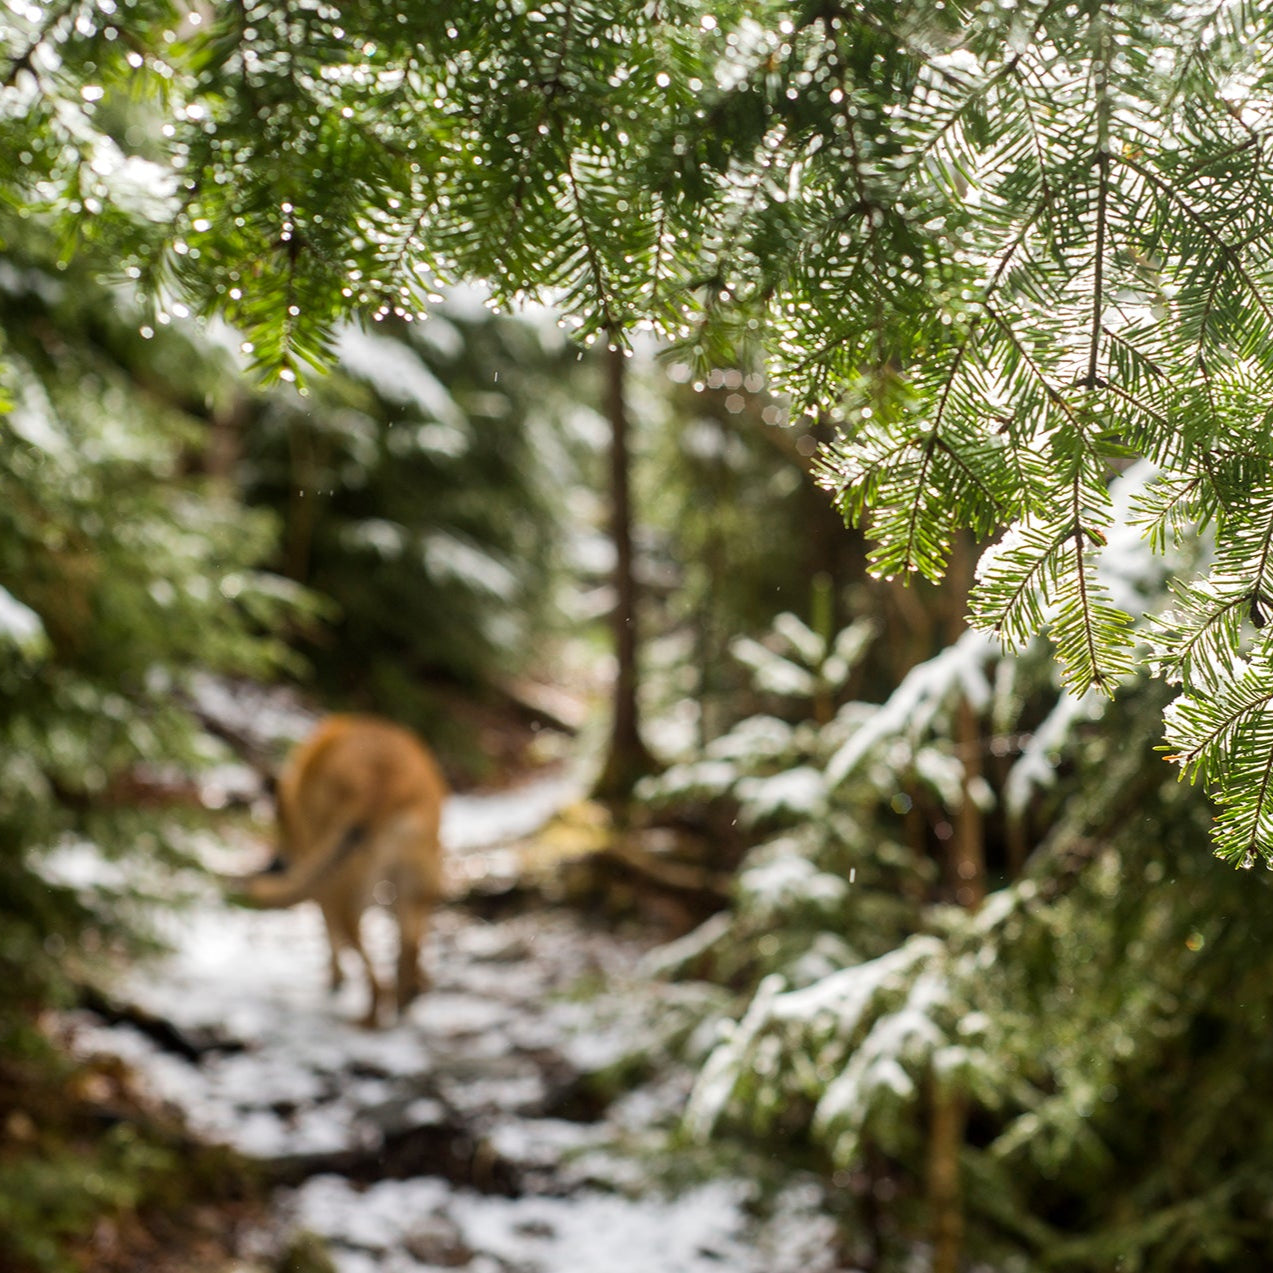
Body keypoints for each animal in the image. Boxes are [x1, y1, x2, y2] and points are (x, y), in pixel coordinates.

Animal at [239, 712, 448, 1028]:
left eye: (280, 826)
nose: (275, 865)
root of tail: (383, 782)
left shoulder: (321, 882)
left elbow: (329, 934)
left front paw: (336, 979)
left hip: (347, 889)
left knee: (369, 965)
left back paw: (370, 1018)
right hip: (416, 882)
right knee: (410, 944)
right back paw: (406, 999)